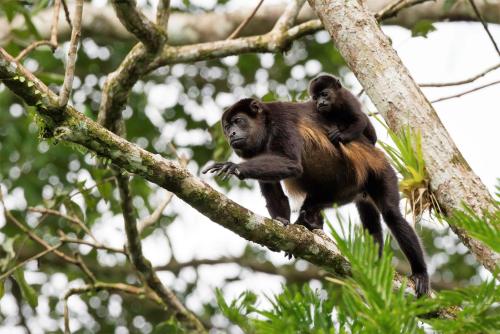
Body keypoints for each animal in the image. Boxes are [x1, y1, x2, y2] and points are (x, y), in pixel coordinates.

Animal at [203, 98, 430, 294]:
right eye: (226, 127)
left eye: (238, 121)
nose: (231, 133)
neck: (265, 126)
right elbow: (274, 192)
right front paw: (282, 222)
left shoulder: (282, 122)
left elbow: (291, 164)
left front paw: (234, 167)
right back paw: (310, 222)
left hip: (381, 171)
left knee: (392, 215)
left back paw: (420, 273)